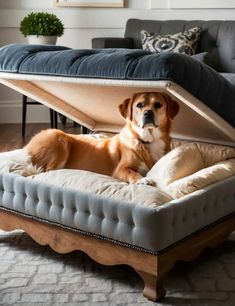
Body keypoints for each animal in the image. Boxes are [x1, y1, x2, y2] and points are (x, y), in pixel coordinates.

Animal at [24, 92, 179, 184]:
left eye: (158, 105)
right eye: (139, 105)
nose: (148, 113)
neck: (149, 140)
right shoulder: (120, 170)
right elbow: (132, 173)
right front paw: (142, 180)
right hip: (58, 138)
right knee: (49, 170)